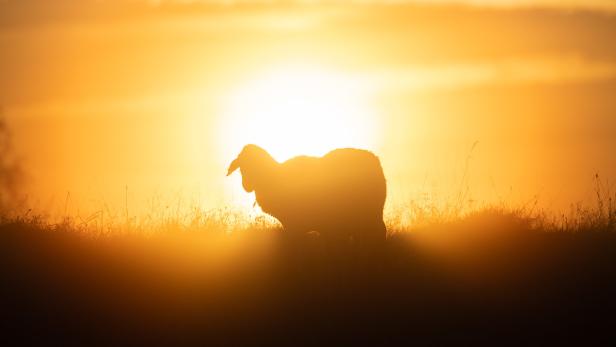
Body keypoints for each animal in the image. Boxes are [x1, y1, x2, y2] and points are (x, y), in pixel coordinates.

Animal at [229, 145, 388, 249]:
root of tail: (375, 160)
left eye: (254, 165)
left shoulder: (295, 224)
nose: (246, 186)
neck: (272, 176)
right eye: (241, 167)